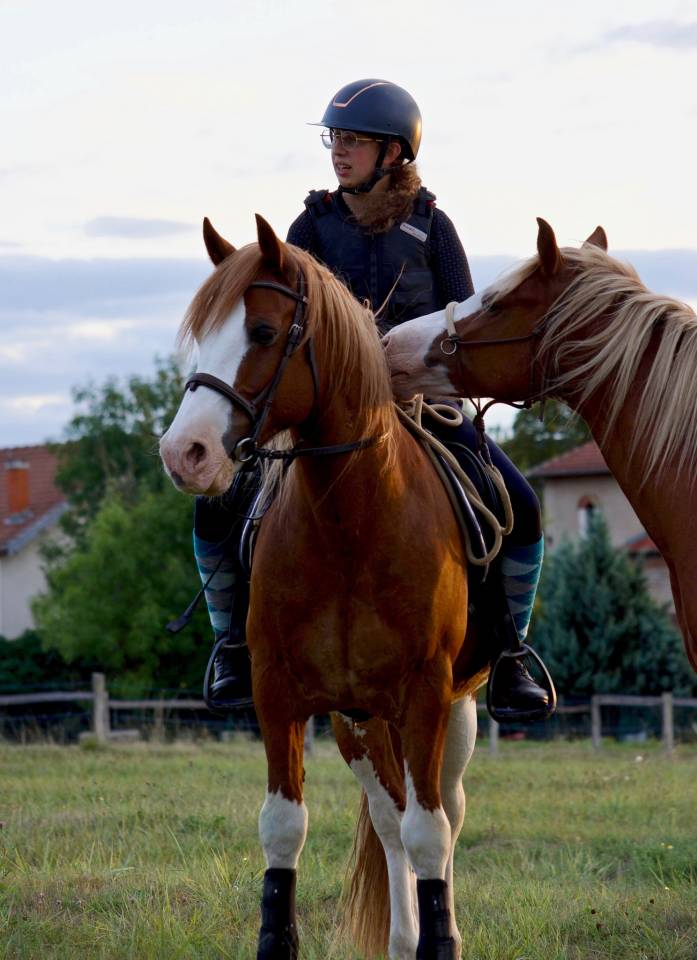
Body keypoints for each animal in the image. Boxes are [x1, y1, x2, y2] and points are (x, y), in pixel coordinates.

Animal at [159, 214, 492, 959]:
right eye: (199, 336)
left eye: (261, 332)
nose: (183, 454)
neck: (350, 522)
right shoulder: (278, 692)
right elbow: (284, 827)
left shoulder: (428, 694)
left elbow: (431, 834)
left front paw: (440, 941)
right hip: (358, 721)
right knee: (390, 816)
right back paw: (401, 939)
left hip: (454, 711)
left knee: (445, 815)